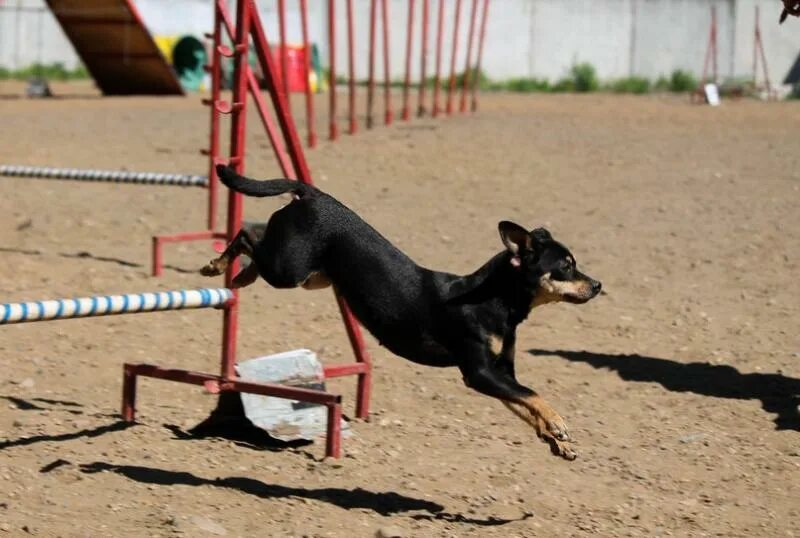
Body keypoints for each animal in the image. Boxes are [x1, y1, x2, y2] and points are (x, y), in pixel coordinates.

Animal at [200, 165, 600, 458]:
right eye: (565, 266)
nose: (597, 285)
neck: (492, 301)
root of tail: (313, 194)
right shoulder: (479, 373)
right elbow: (532, 394)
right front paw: (558, 423)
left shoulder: (499, 372)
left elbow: (522, 402)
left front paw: (554, 440)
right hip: (289, 269)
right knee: (246, 236)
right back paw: (218, 265)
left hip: (315, 277)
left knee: (255, 247)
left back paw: (239, 275)